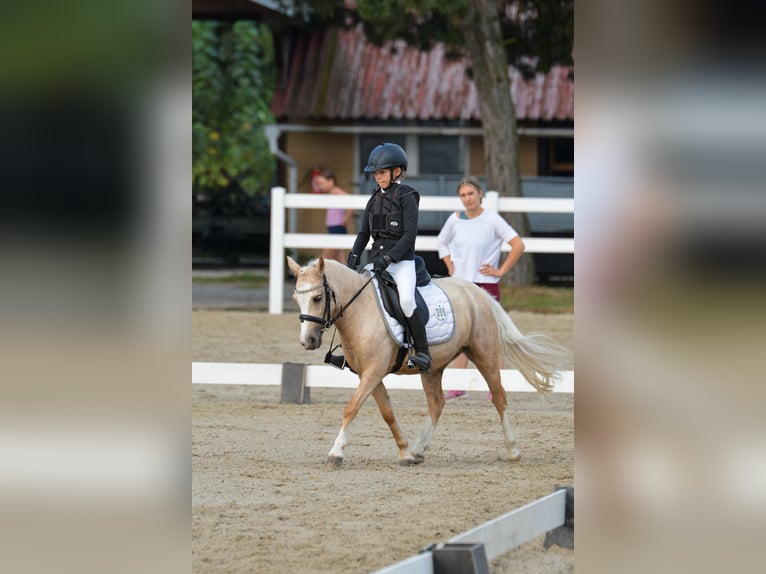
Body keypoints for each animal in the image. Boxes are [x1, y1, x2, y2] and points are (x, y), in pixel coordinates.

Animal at [284, 256, 568, 468]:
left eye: (318, 298)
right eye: (297, 298)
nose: (308, 341)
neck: (361, 310)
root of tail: (478, 292)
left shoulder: (374, 372)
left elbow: (351, 408)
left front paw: (336, 452)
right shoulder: (369, 374)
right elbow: (387, 412)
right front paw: (405, 452)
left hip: (483, 353)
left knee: (499, 396)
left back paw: (513, 449)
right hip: (432, 367)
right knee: (437, 403)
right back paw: (419, 450)